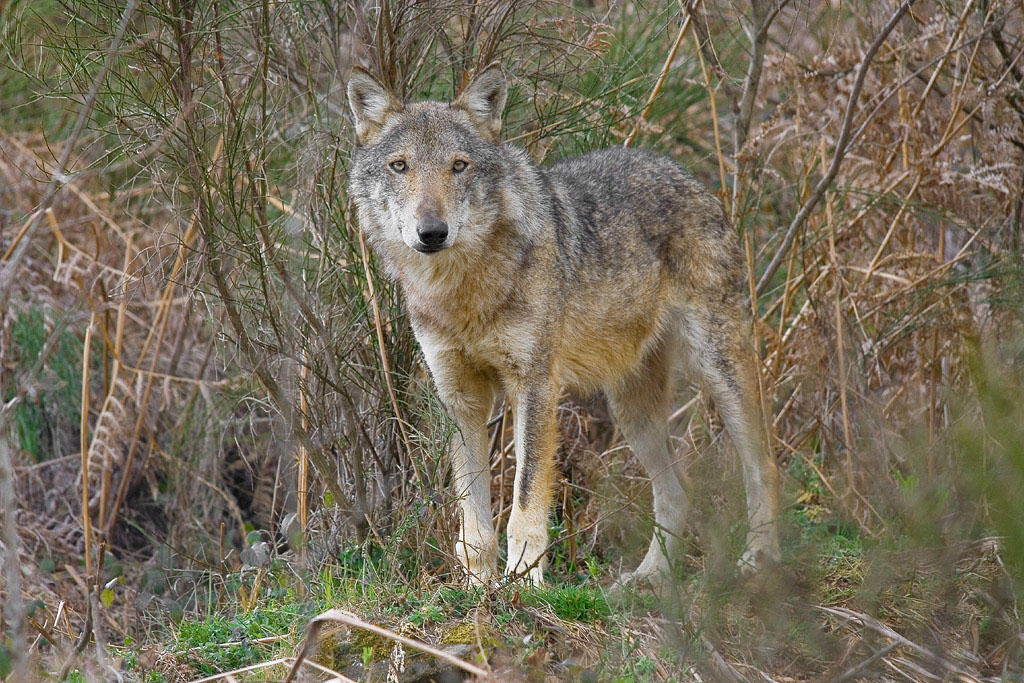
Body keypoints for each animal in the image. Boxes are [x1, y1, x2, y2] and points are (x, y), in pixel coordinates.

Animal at [346, 64, 781, 586]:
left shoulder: (534, 385)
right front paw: (478, 588)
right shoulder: (460, 397)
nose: (432, 232)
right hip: (632, 410)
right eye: (400, 166)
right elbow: (473, 523)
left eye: (458, 166)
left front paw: (523, 581)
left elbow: (524, 500)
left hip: (720, 375)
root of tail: (689, 176)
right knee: (679, 490)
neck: (464, 292)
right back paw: (647, 580)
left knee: (764, 469)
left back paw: (757, 560)